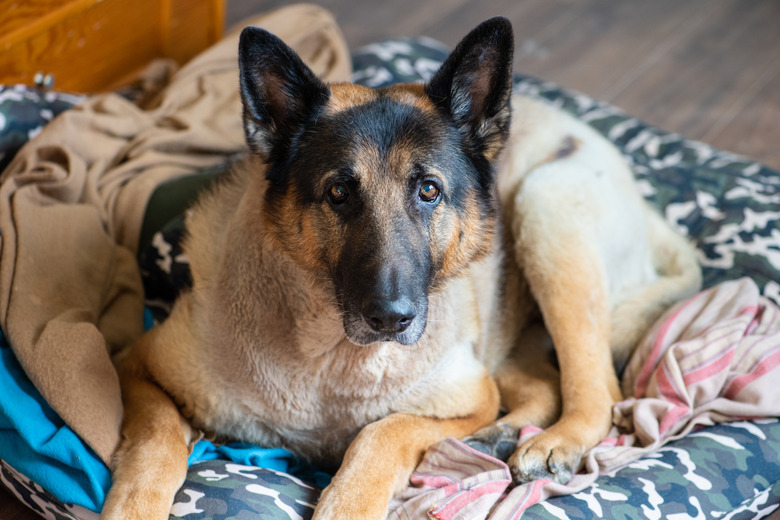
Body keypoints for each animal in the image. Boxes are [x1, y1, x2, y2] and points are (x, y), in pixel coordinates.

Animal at [100, 16, 704, 520]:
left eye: (429, 191)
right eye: (339, 193)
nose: (391, 318)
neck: (332, 362)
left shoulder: (465, 397)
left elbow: (382, 432)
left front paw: (347, 501)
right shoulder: (139, 366)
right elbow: (155, 442)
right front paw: (133, 506)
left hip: (545, 208)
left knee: (596, 388)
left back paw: (546, 439)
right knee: (545, 383)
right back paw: (500, 438)